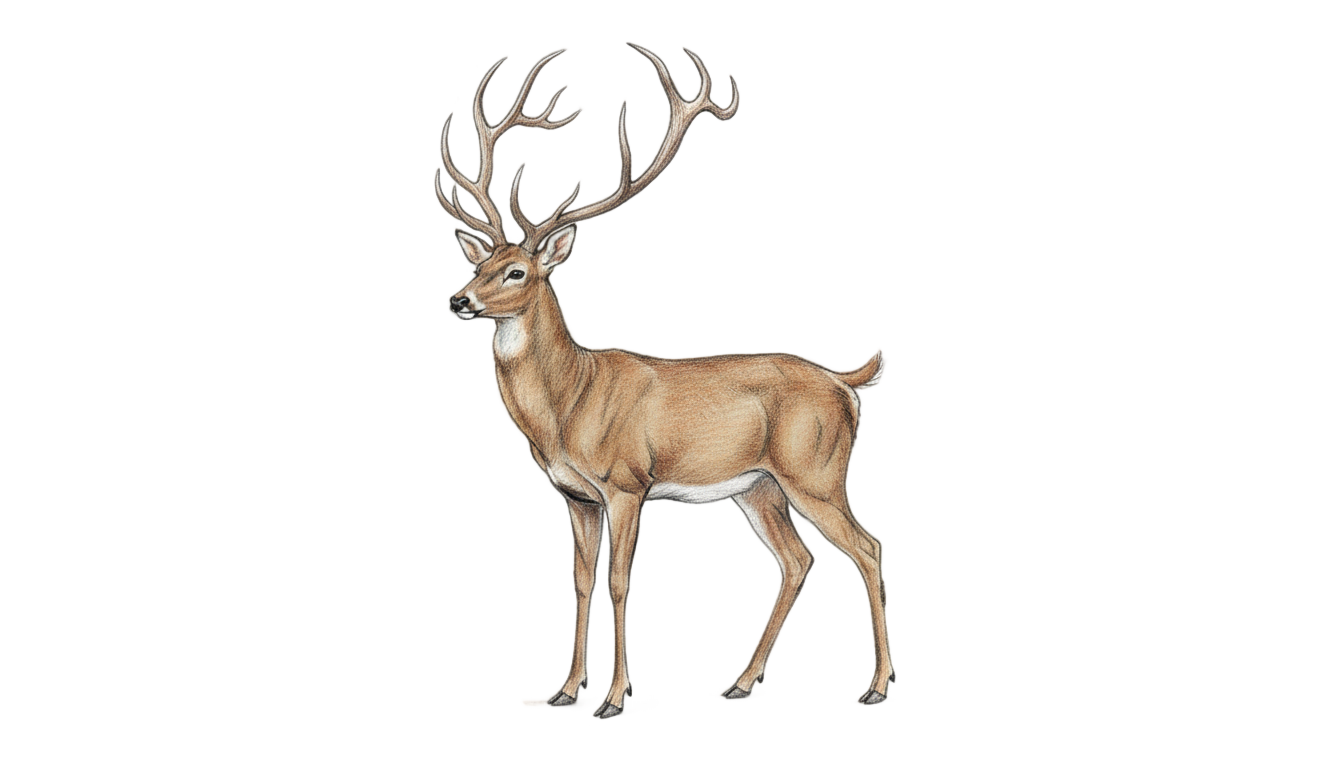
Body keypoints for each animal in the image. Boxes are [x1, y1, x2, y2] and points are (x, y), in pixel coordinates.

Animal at [436, 45, 907, 718]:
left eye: (517, 271)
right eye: (478, 265)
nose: (459, 301)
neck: (570, 403)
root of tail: (846, 384)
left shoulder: (627, 483)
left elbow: (619, 581)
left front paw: (614, 698)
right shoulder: (576, 496)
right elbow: (580, 581)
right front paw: (565, 689)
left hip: (814, 472)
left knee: (866, 547)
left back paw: (877, 685)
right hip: (758, 487)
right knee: (797, 559)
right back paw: (741, 681)